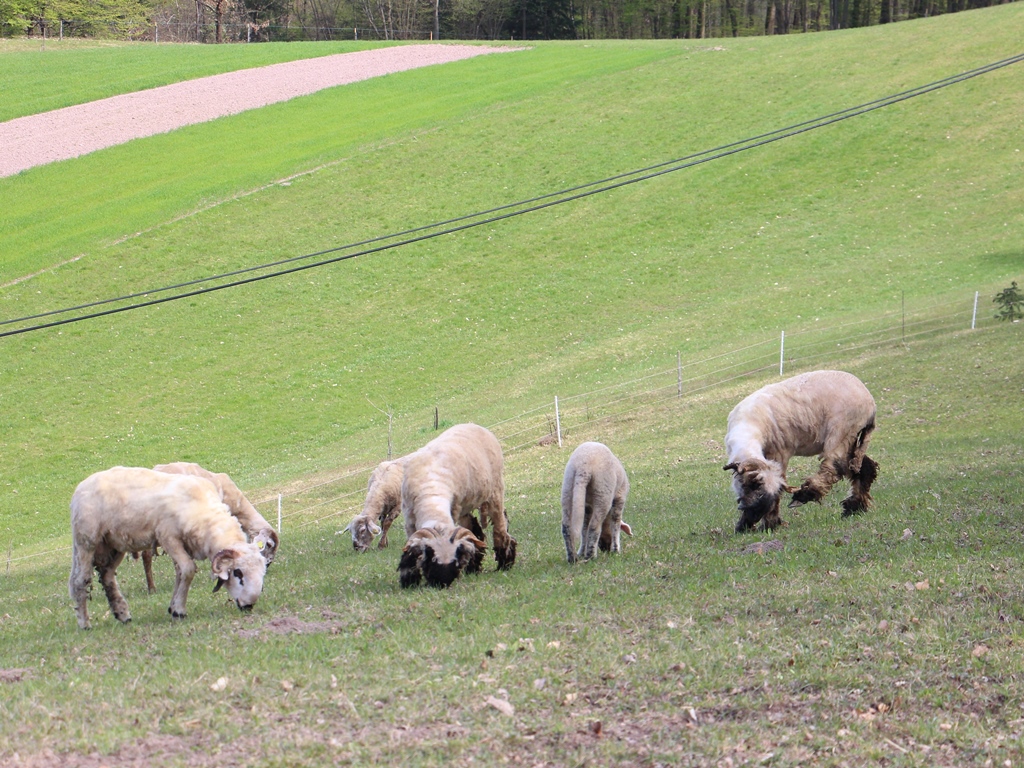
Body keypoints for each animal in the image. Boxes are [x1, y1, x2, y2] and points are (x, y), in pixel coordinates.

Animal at [68, 468, 268, 630]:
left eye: (262, 573)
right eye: (238, 573)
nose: (248, 606)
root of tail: (80, 487)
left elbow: (181, 572)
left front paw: (173, 607)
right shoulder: (168, 537)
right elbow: (188, 569)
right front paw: (179, 611)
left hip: (114, 543)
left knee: (107, 576)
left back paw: (122, 614)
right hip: (86, 540)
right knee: (80, 579)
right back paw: (84, 623)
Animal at [395, 423, 516, 593]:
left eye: (455, 560)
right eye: (431, 558)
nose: (442, 583)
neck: (431, 492)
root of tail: (473, 424)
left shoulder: (455, 508)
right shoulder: (409, 519)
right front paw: (410, 580)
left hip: (495, 490)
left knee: (499, 526)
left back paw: (504, 563)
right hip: (467, 505)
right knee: (475, 528)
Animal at [720, 372, 880, 536]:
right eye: (753, 484)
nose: (753, 518)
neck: (748, 427)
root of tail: (870, 404)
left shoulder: (780, 453)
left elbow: (779, 486)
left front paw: (769, 524)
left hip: (841, 432)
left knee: (834, 468)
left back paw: (805, 495)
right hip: (853, 439)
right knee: (863, 468)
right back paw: (855, 507)